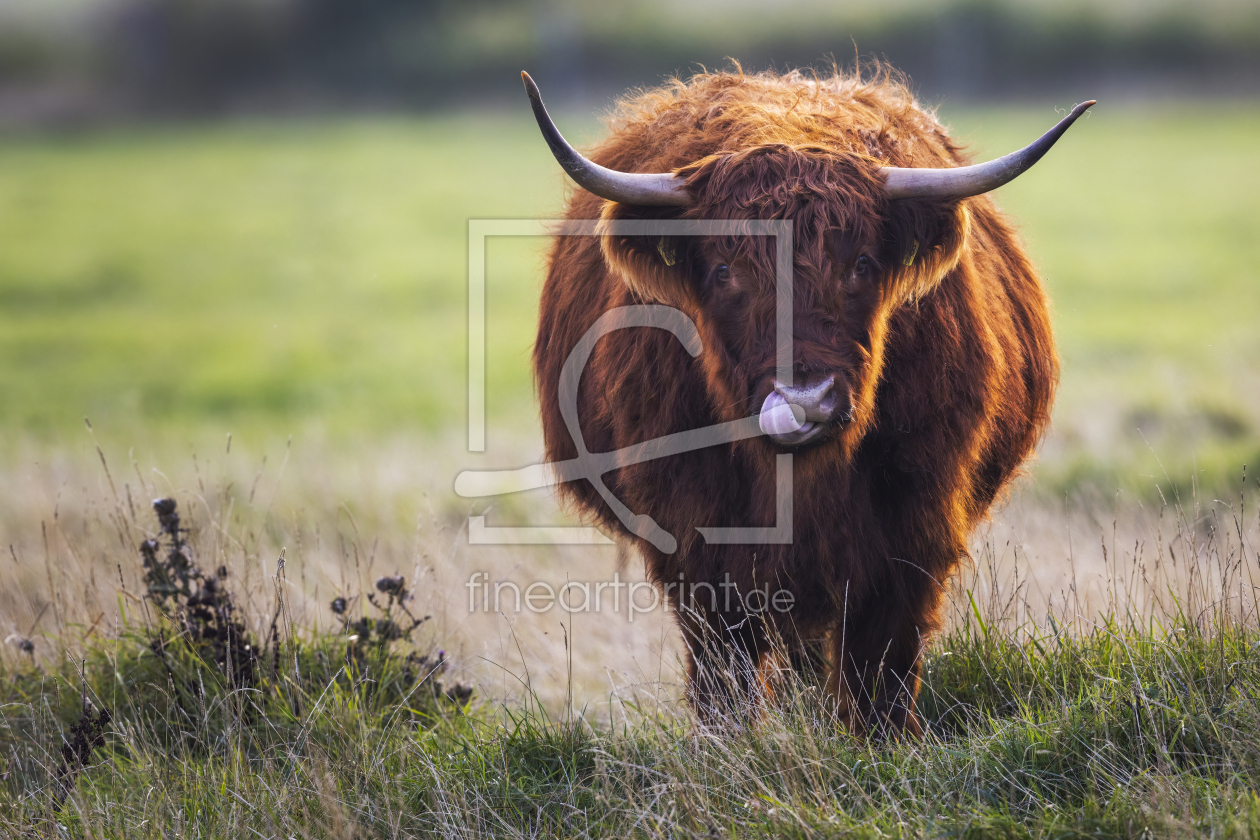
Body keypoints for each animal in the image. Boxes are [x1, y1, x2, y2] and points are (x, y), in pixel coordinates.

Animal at [521, 67, 1093, 735]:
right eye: (724, 271)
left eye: (862, 263)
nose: (804, 400)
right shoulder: (695, 538)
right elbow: (724, 665)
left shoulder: (912, 525)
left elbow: (882, 663)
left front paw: (880, 742)